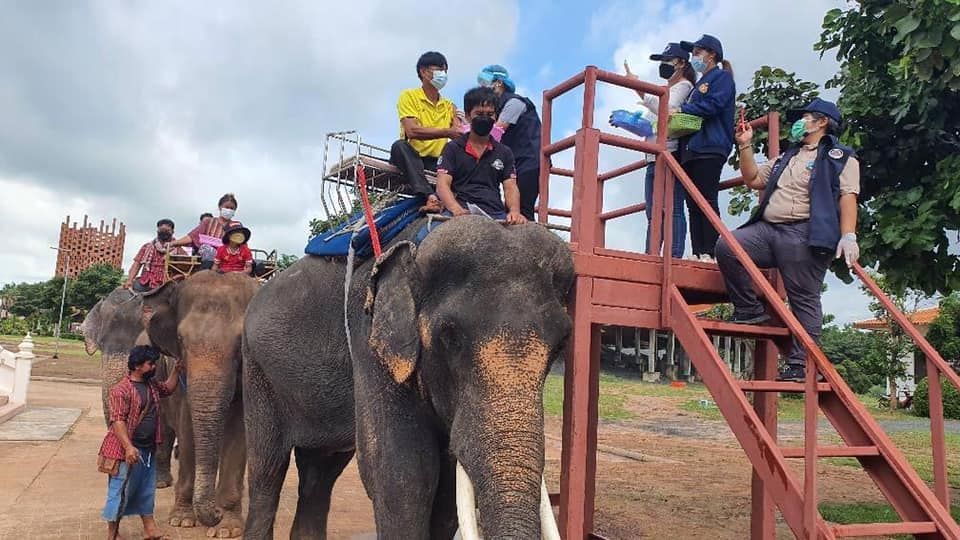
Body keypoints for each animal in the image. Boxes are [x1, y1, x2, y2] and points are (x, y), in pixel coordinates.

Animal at [142, 272, 258, 536]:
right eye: (180, 339)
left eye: (241, 342)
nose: (215, 513)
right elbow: (188, 432)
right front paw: (182, 520)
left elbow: (239, 433)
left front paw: (226, 529)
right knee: (166, 431)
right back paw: (161, 483)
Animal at [242, 215, 568, 540]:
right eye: (450, 337)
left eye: (560, 345)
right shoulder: (369, 337)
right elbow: (403, 476)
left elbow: (446, 491)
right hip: (257, 371)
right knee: (267, 467)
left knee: (320, 471)